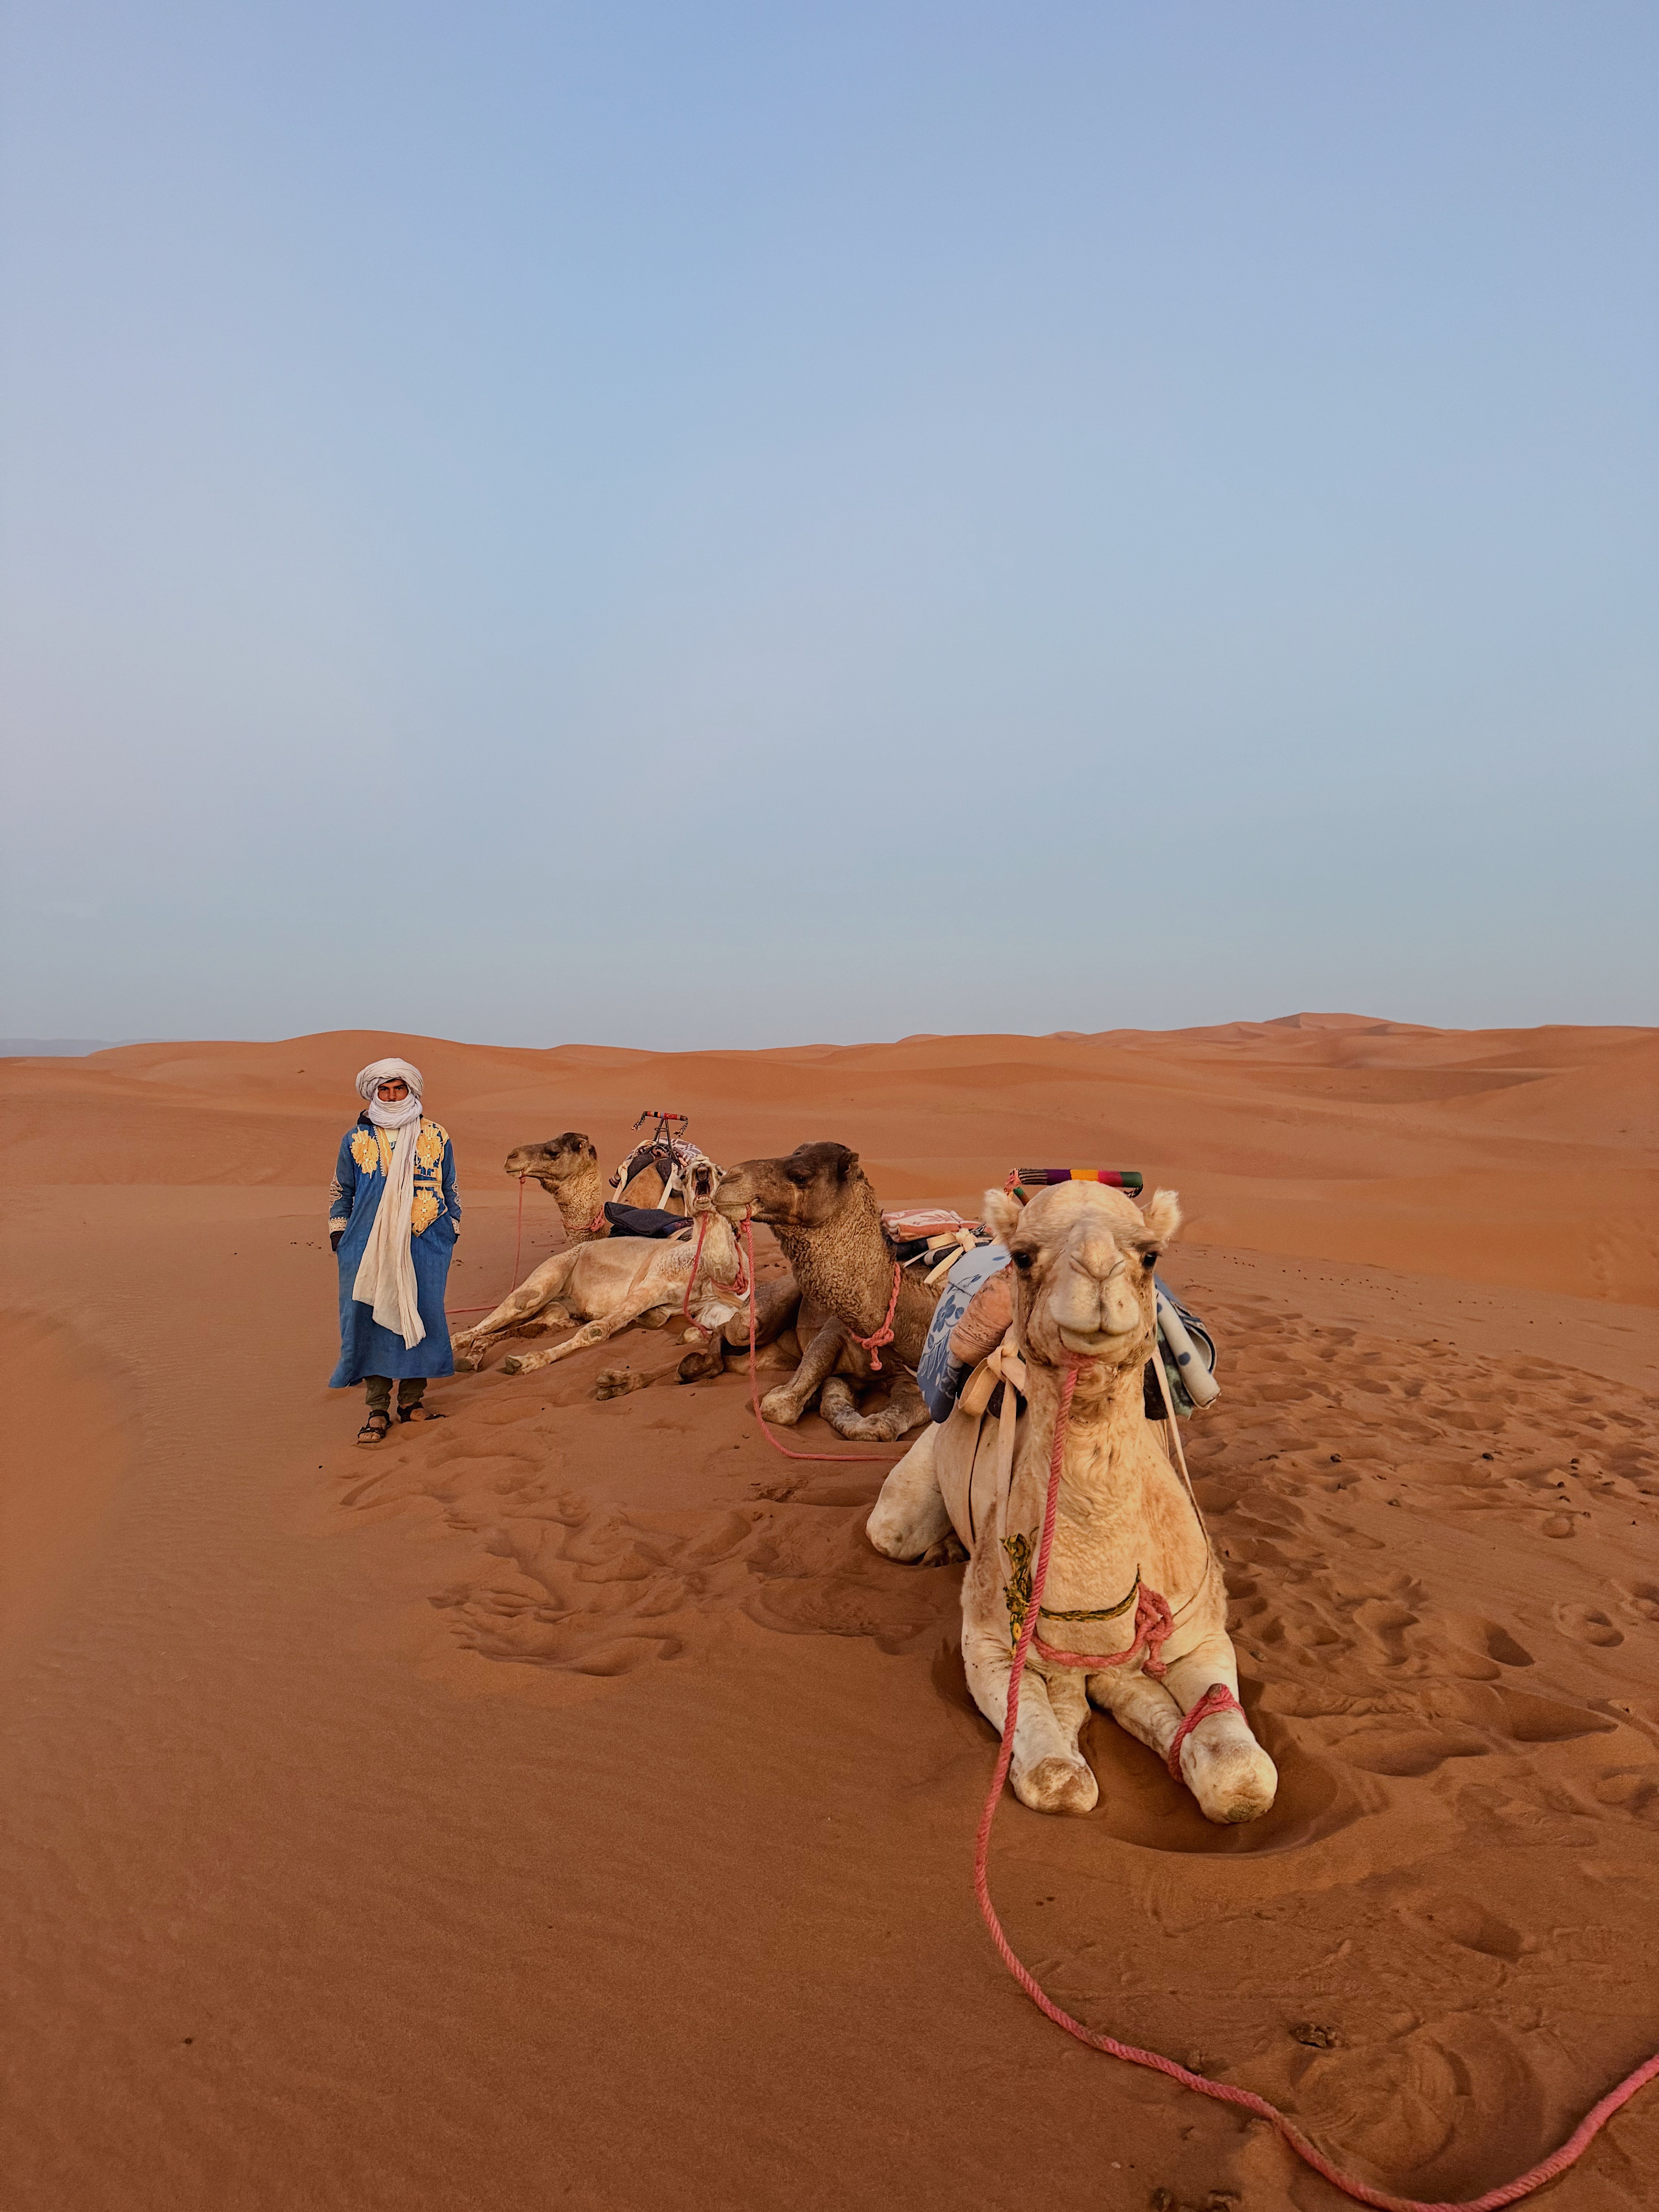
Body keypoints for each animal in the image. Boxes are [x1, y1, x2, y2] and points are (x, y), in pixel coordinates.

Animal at [716, 1143, 939, 1443]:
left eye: (800, 1176)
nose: (727, 1180)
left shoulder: (919, 1386)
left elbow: (880, 1428)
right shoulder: (833, 1332)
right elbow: (778, 1406)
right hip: (756, 1315)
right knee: (736, 1329)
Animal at [867, 1179, 1276, 1825]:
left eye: (1151, 1255)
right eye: (1024, 1256)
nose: (1098, 1272)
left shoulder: (1200, 1632)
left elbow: (1245, 1778)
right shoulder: (989, 1643)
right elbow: (1059, 1779)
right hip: (908, 1495)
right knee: (895, 1530)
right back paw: (942, 1550)